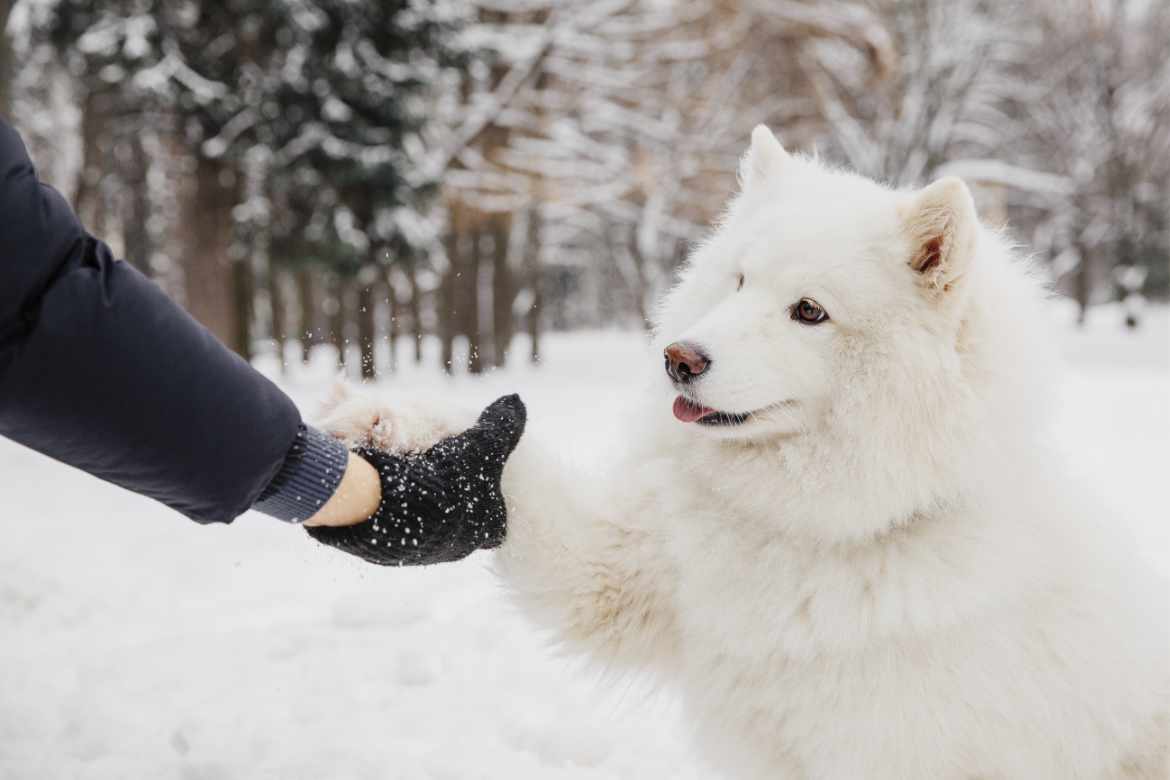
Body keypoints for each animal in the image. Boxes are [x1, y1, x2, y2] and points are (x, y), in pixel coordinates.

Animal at [322, 125, 1170, 776]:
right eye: (737, 281)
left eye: (810, 311)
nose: (677, 358)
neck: (813, 531)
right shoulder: (624, 570)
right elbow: (509, 474)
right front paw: (390, 420)